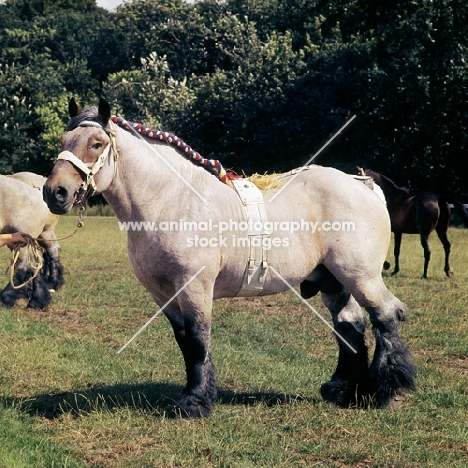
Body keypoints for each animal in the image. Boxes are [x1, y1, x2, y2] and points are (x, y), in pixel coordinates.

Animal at [43, 98, 416, 416]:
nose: (54, 192)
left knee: (386, 316)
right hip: (335, 281)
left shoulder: (194, 287)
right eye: (64, 138)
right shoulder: (163, 294)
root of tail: (362, 184)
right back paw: (344, 390)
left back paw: (384, 390)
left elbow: (198, 340)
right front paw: (192, 395)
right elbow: (185, 342)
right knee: (351, 325)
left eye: (96, 143)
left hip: (361, 277)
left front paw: (195, 403)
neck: (170, 201)